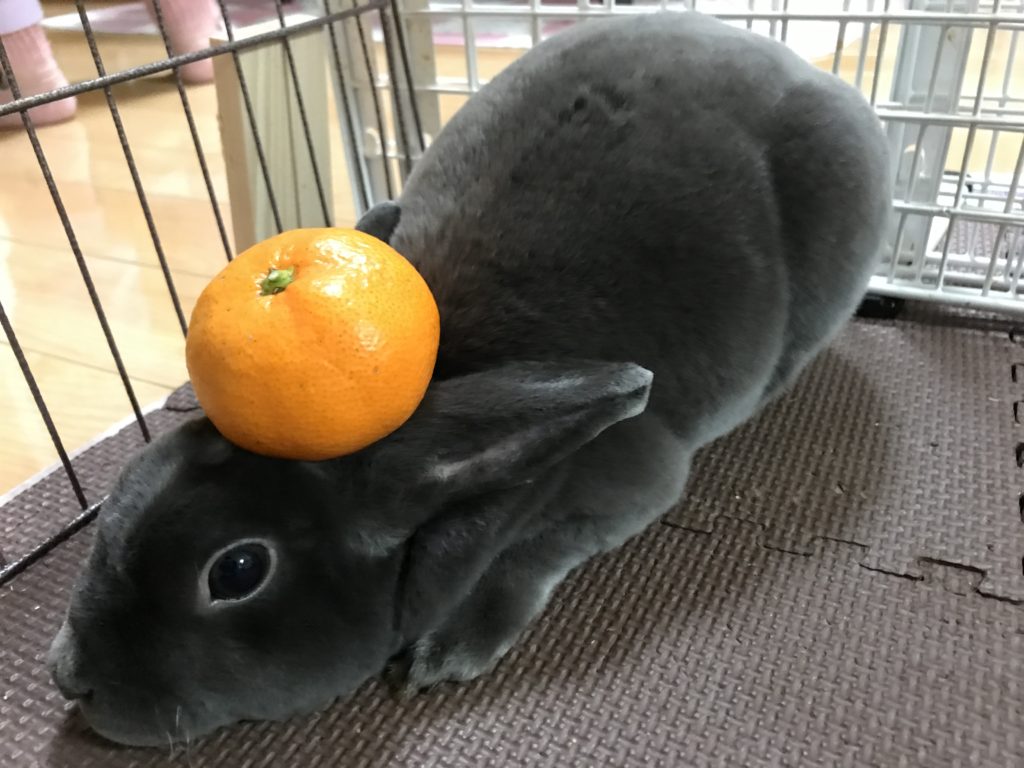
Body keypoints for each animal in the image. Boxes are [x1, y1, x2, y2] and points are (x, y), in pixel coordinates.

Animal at [48, 11, 891, 747]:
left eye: (238, 570)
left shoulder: (625, 490)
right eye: (123, 485)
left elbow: (532, 556)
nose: (68, 677)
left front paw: (445, 654)